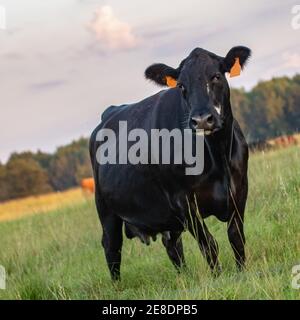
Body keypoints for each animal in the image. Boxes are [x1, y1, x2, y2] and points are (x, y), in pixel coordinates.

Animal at [89, 45, 251, 280]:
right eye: (181, 85)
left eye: (216, 76)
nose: (202, 120)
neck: (218, 155)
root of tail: (110, 112)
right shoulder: (182, 199)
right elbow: (208, 244)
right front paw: (218, 278)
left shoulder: (240, 187)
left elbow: (236, 235)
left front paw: (242, 272)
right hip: (105, 208)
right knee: (112, 246)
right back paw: (117, 285)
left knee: (172, 244)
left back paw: (184, 276)